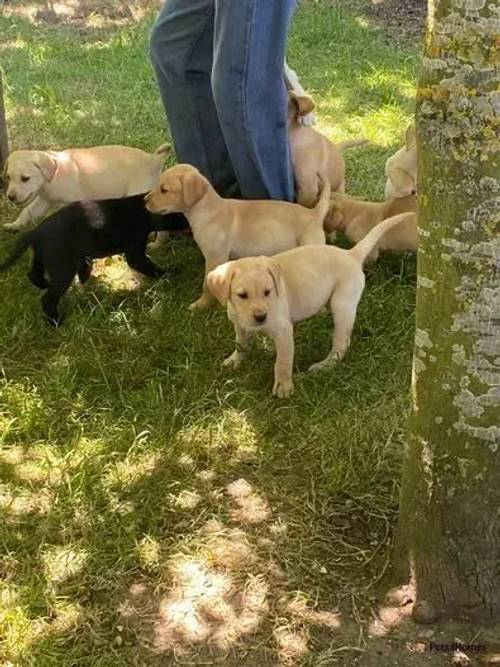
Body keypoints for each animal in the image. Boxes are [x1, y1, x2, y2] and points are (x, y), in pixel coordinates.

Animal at [0, 192, 188, 324]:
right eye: (181, 213)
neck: (142, 212)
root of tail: (36, 232)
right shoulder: (135, 254)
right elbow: (152, 268)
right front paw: (169, 274)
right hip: (63, 271)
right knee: (47, 299)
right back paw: (57, 321)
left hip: (43, 259)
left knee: (33, 274)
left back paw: (44, 285)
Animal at [2, 144, 172, 232]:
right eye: (8, 177)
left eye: (25, 179)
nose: (10, 197)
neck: (54, 174)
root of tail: (153, 159)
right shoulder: (44, 201)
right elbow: (27, 211)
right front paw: (14, 225)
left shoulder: (75, 201)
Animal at [145, 167, 330, 314]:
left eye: (164, 190)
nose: (144, 200)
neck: (207, 209)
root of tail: (314, 214)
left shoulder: (214, 258)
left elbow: (206, 284)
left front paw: (201, 304)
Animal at [206, 214, 414, 400]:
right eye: (242, 295)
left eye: (268, 292)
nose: (261, 317)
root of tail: (350, 254)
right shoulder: (239, 324)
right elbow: (240, 343)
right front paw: (235, 360)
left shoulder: (283, 331)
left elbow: (282, 362)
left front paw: (284, 387)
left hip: (342, 304)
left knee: (341, 343)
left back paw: (324, 366)